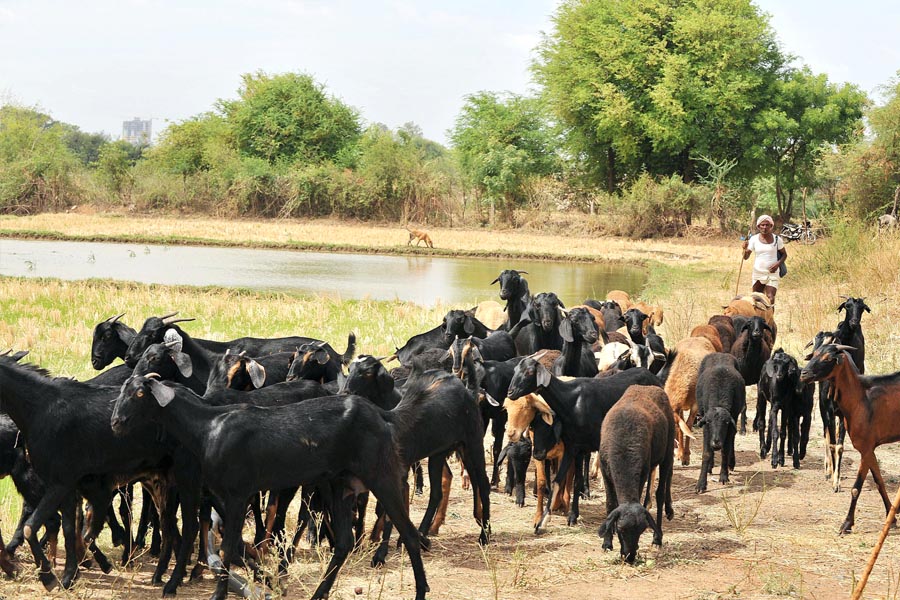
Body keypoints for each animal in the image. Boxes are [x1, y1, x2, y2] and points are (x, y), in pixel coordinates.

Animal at [111, 375, 430, 600]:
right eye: (123, 391)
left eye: (140, 393)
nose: (116, 422)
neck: (208, 427)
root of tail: (384, 416)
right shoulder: (221, 496)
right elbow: (234, 545)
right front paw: (268, 579)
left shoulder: (238, 493)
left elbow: (228, 547)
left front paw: (220, 594)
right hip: (338, 485)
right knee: (343, 543)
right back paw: (318, 594)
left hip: (382, 475)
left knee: (409, 534)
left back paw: (420, 591)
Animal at [598, 385, 674, 562]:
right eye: (621, 529)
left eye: (641, 530)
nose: (630, 557)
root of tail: (650, 387)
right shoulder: (605, 471)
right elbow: (610, 504)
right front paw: (607, 543)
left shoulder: (642, 473)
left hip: (667, 452)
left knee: (661, 491)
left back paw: (657, 538)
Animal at [694, 353, 745, 492]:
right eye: (709, 421)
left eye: (726, 422)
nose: (716, 442)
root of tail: (720, 353)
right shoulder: (705, 426)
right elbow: (706, 454)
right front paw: (701, 484)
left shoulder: (731, 424)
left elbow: (725, 451)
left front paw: (724, 476)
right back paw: (710, 466)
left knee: (731, 442)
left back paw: (731, 463)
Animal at [800, 344, 900, 534]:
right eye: (814, 354)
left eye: (827, 358)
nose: (804, 373)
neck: (860, 398)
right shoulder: (870, 449)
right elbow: (879, 482)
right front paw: (891, 518)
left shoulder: (866, 448)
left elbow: (855, 488)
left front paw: (846, 524)